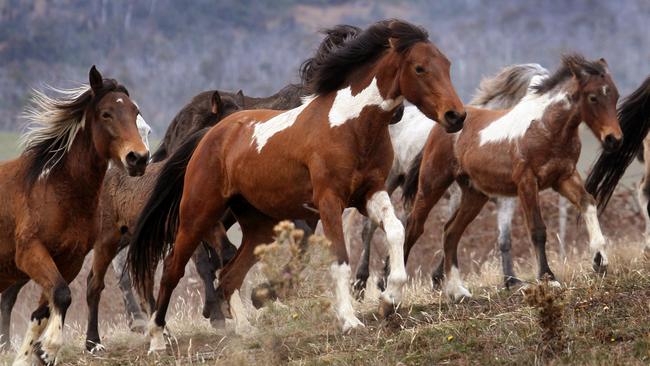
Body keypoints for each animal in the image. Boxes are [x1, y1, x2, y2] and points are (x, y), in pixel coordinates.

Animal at [0, 66, 147, 366]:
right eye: (106, 113)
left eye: (135, 111)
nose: (138, 158)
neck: (56, 191)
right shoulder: (30, 251)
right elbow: (62, 294)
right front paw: (49, 348)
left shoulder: (70, 260)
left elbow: (45, 309)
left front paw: (33, 353)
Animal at [125, 19, 460, 352]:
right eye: (420, 68)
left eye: (447, 64)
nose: (455, 116)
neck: (351, 127)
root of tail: (209, 134)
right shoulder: (328, 201)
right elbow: (339, 257)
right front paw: (349, 320)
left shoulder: (370, 193)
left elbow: (396, 231)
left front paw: (390, 299)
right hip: (198, 214)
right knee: (175, 268)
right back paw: (158, 339)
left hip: (258, 226)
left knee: (229, 273)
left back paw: (244, 329)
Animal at [400, 55, 624, 300]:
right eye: (593, 97)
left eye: (615, 95)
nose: (614, 139)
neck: (546, 127)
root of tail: (443, 125)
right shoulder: (527, 182)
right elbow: (537, 230)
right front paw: (549, 278)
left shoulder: (563, 177)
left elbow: (588, 203)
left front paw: (600, 261)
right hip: (432, 183)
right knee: (413, 226)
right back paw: (392, 291)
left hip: (474, 195)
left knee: (450, 231)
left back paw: (457, 291)